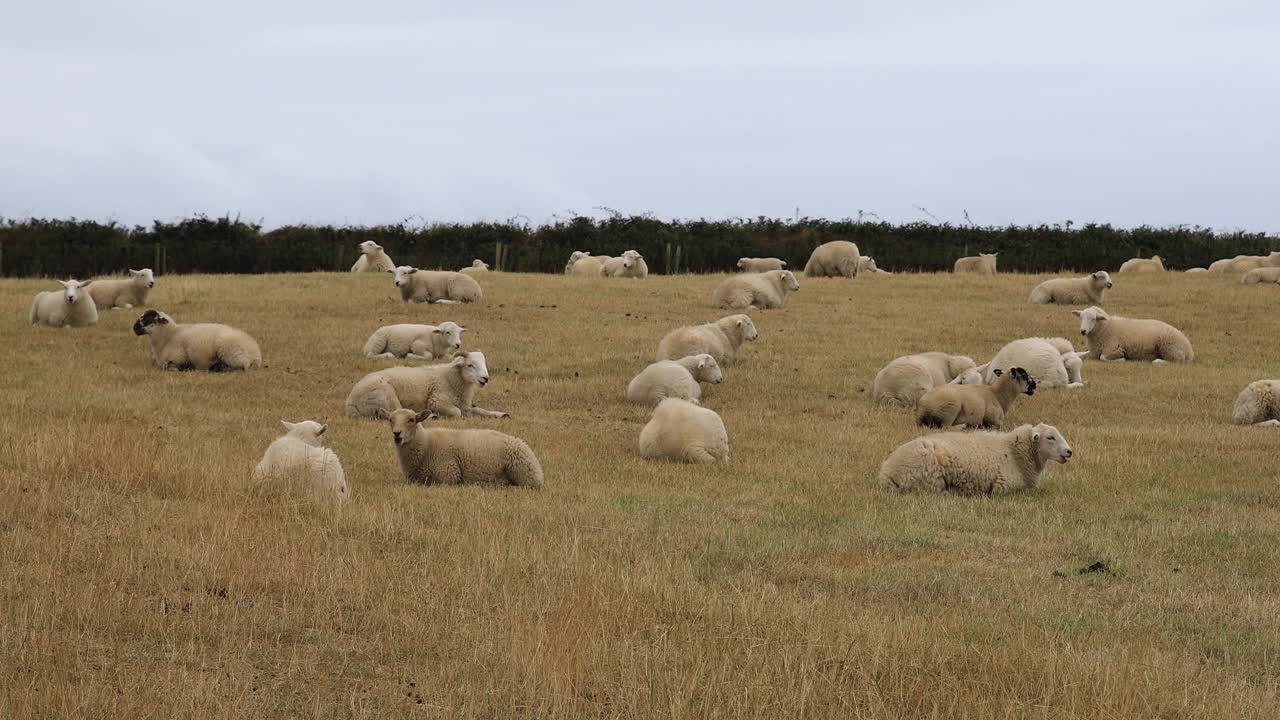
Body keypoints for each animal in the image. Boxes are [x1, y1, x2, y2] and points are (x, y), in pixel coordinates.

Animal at [131, 309, 262, 371]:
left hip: (230, 352)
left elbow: (170, 367)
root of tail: (256, 355)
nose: (134, 328)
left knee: (240, 367)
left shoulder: (179, 358)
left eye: (148, 319)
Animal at [345, 350, 508, 419]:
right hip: (387, 396)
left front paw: (500, 414)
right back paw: (431, 416)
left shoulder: (465, 405)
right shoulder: (437, 401)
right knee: (396, 413)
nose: (485, 378)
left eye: (484, 364)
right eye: (470, 365)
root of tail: (350, 403)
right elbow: (457, 413)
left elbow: (480, 410)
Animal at [386, 408, 543, 487]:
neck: (426, 445)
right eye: (390, 420)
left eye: (411, 419)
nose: (397, 434)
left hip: (524, 475)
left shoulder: (449, 474)